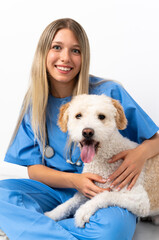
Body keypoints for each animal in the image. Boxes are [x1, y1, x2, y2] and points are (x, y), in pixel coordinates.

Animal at [44, 93, 159, 227]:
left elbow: (105, 195)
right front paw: (52, 214)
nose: (87, 132)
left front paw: (83, 211)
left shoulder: (139, 200)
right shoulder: (87, 189)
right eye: (78, 115)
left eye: (101, 116)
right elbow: (70, 202)